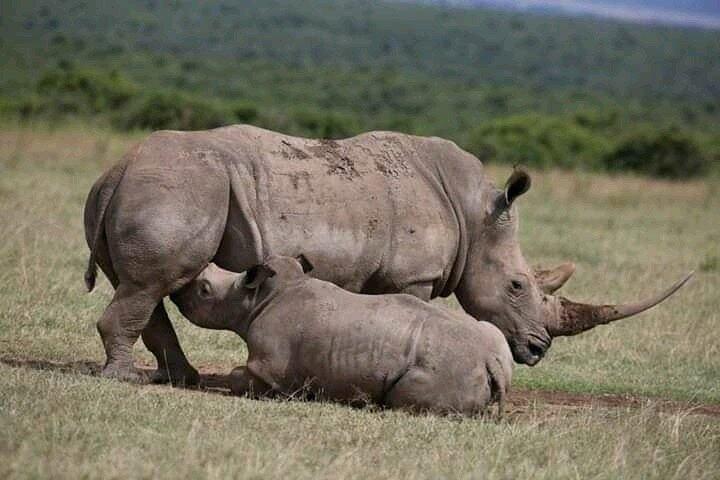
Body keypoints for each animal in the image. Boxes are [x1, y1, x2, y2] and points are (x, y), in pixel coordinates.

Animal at [84, 125, 692, 384]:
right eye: (518, 286)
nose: (539, 350)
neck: (474, 214)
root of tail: (116, 168)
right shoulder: (414, 275)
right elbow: (417, 309)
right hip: (181, 187)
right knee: (150, 284)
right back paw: (125, 380)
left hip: (156, 187)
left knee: (146, 287)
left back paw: (180, 378)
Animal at [173, 256, 513, 415]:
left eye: (204, 291)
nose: (179, 292)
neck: (254, 299)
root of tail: (490, 361)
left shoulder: (270, 370)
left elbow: (237, 377)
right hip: (492, 344)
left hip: (447, 365)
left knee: (401, 399)